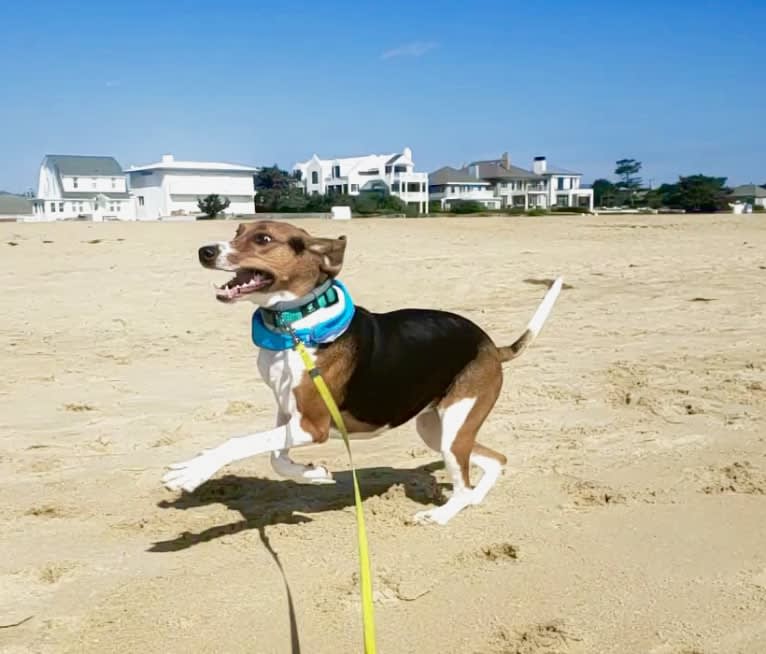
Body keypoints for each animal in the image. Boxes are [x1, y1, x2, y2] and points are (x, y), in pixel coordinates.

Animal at [164, 222, 564, 528]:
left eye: (262, 238)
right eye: (238, 230)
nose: (204, 251)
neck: (297, 326)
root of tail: (491, 344)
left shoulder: (313, 425)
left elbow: (238, 443)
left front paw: (190, 472)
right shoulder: (288, 411)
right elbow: (277, 458)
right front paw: (314, 473)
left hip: (453, 428)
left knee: (464, 482)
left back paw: (441, 516)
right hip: (437, 429)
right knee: (495, 461)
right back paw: (473, 500)